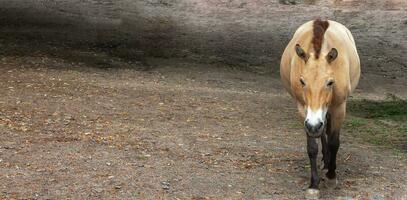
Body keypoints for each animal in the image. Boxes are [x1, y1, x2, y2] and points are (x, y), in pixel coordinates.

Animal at [280, 19, 360, 198]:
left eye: (330, 82)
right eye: (302, 81)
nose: (313, 125)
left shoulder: (338, 108)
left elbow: (334, 142)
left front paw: (331, 177)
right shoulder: (304, 110)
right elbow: (312, 147)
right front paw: (313, 185)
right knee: (322, 132)